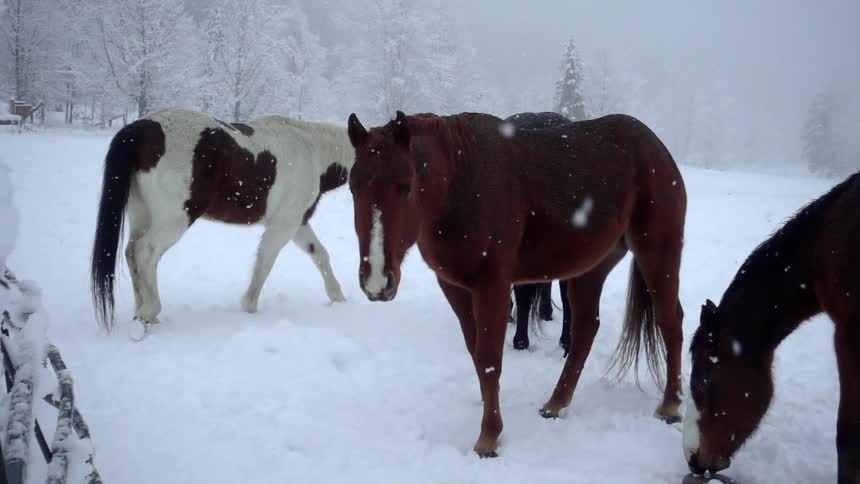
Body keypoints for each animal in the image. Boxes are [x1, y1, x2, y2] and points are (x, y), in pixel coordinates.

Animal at [90, 108, 354, 336]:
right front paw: (249, 305)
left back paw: (143, 312)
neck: (312, 151)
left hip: (142, 215)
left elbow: (319, 254)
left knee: (131, 253)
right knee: (146, 251)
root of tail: (142, 127)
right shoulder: (283, 225)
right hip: (173, 220)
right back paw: (150, 310)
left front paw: (338, 297)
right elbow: (265, 262)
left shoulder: (297, 223)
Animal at [346, 110, 687, 457]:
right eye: (352, 189)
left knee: (670, 322)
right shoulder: (455, 288)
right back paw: (555, 403)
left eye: (406, 187)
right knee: (585, 330)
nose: (377, 279)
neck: (460, 182)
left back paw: (670, 406)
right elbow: (476, 354)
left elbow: (488, 360)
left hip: (657, 252)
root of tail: (656, 147)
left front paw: (489, 436)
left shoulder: (492, 285)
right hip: (591, 267)